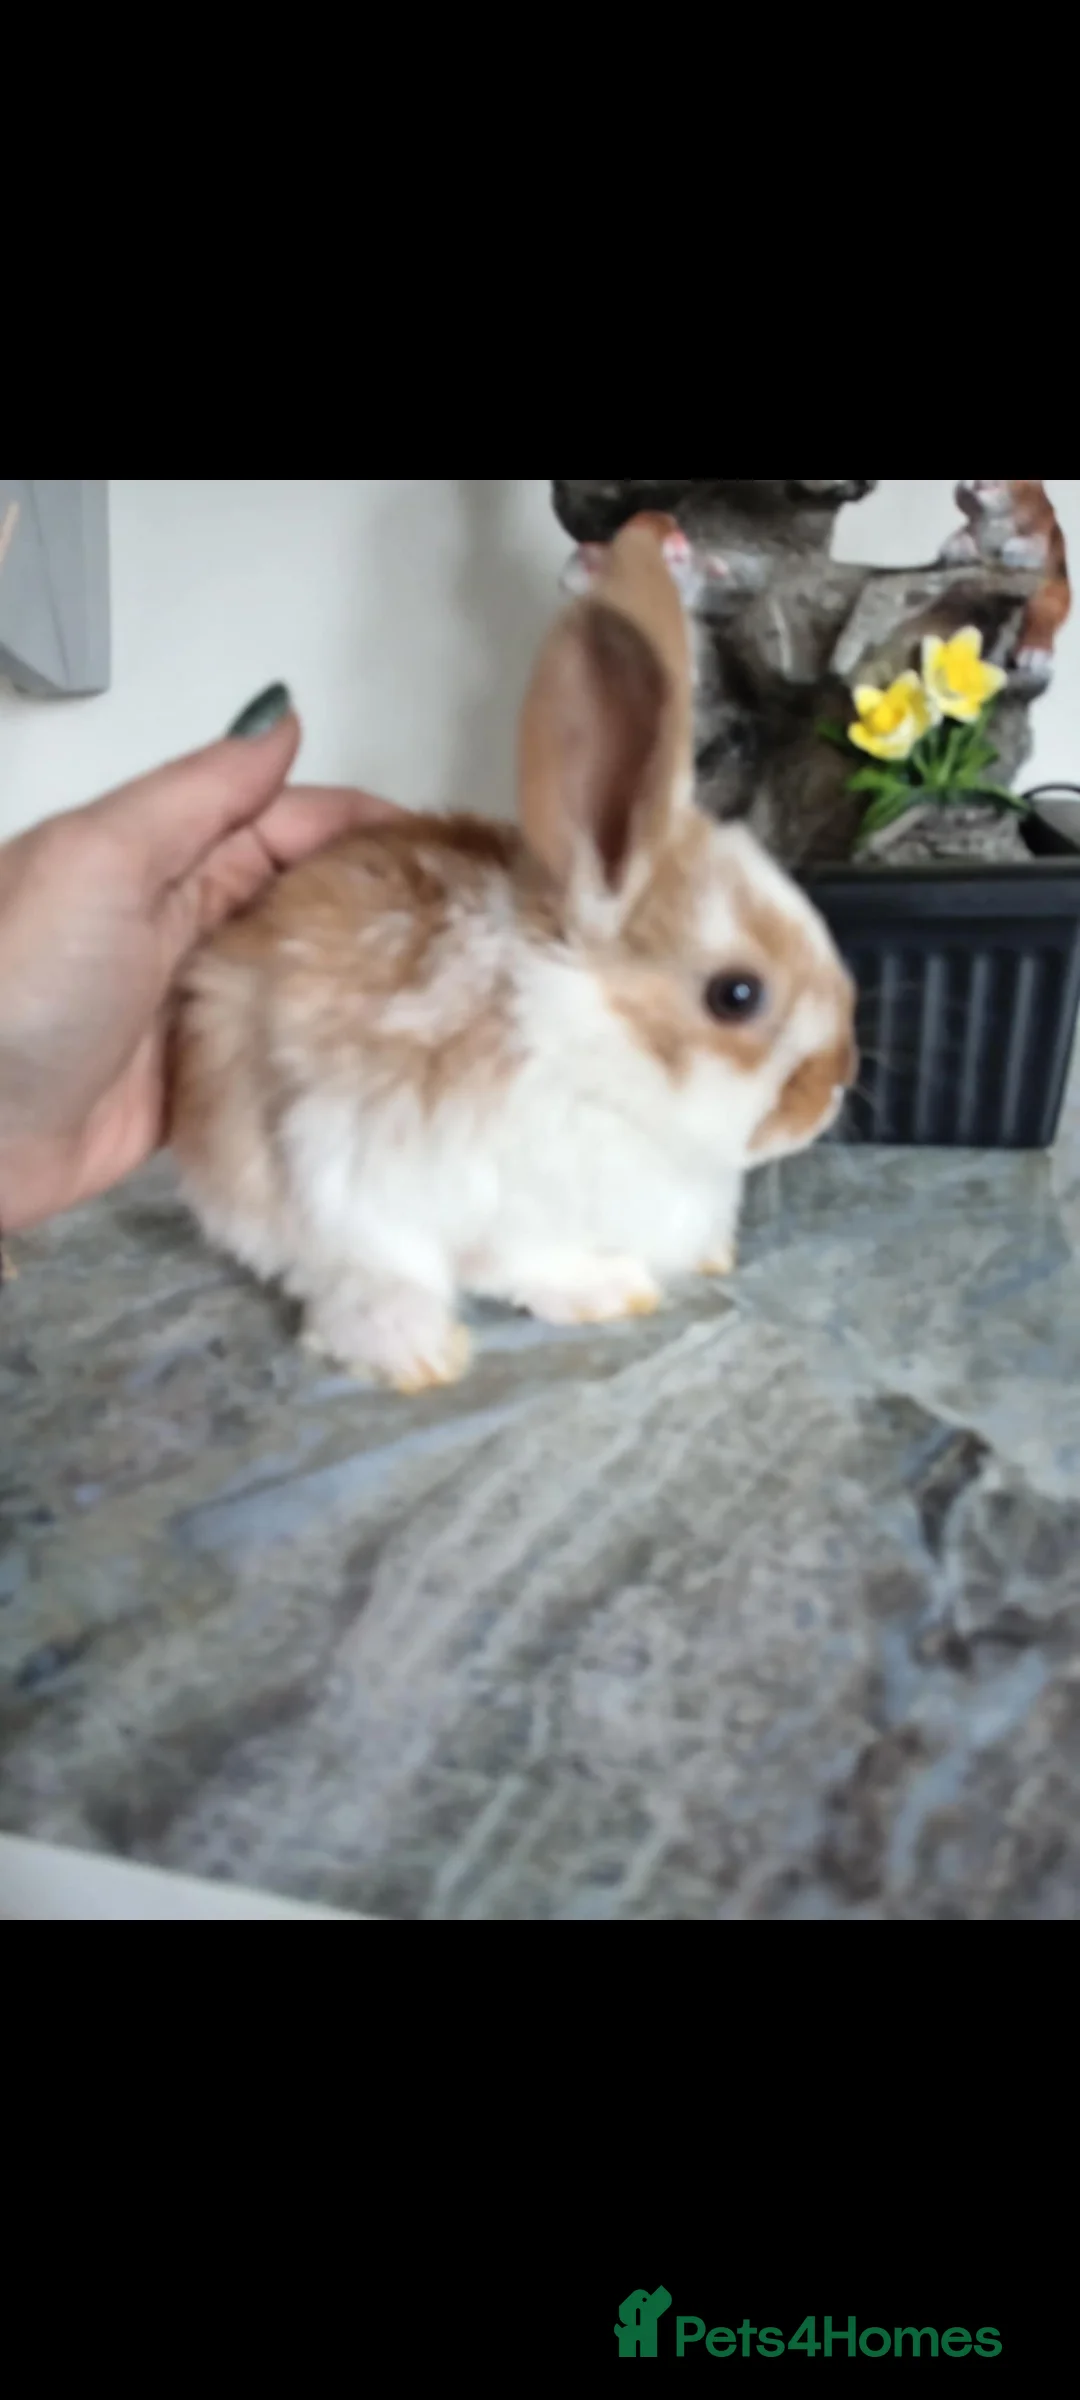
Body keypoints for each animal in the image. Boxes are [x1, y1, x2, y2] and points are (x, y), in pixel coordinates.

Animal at [171, 513, 858, 1393]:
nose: (836, 1087)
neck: (596, 1048)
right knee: (351, 1288)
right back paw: (420, 1353)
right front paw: (611, 1290)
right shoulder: (489, 1206)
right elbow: (522, 1265)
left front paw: (708, 1255)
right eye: (736, 995)